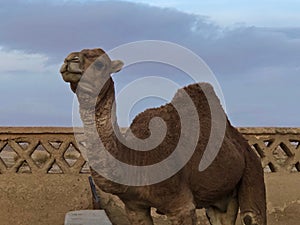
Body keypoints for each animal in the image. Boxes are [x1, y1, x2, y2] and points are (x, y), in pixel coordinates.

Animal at [59, 48, 266, 224]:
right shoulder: (134, 207)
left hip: (253, 168)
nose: (69, 60)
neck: (136, 156)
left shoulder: (180, 206)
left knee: (251, 216)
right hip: (220, 195)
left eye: (100, 64)